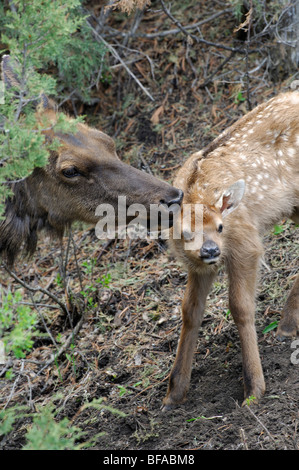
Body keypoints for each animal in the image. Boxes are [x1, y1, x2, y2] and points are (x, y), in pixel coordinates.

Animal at [164, 90, 299, 410]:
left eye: (221, 226)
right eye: (185, 232)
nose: (211, 250)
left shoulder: (246, 243)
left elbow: (239, 306)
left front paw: (254, 389)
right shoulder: (196, 266)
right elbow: (189, 311)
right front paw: (173, 395)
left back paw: (286, 325)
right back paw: (289, 322)